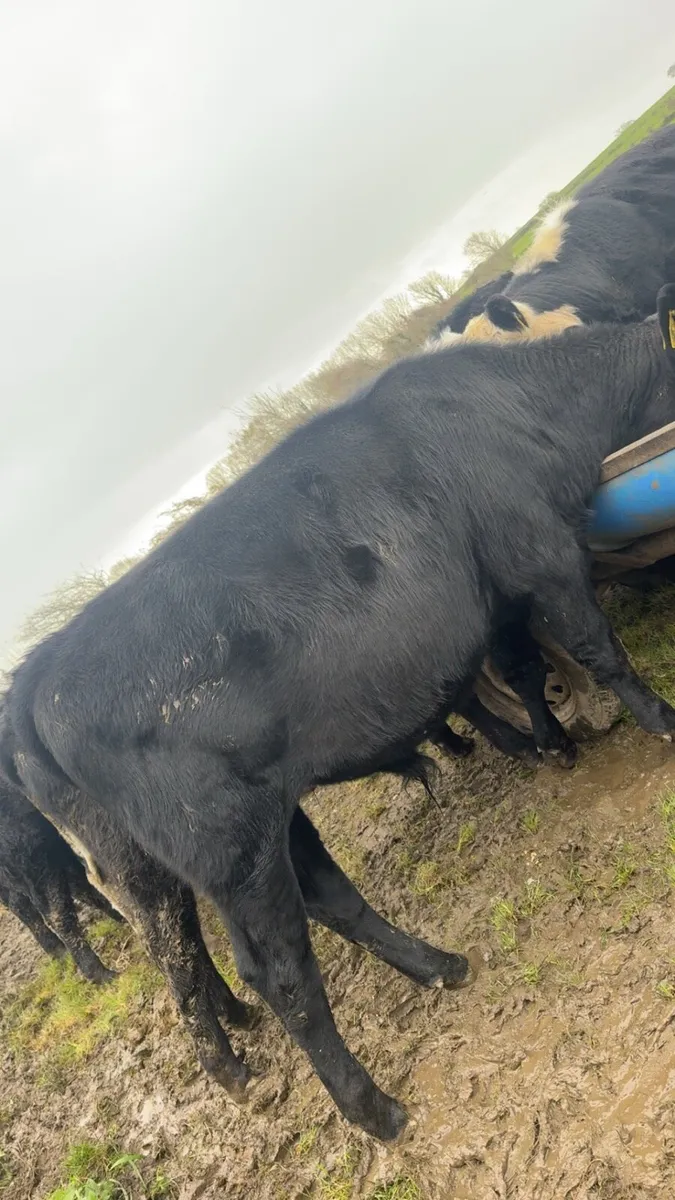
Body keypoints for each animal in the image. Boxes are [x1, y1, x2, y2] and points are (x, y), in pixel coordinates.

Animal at [4, 286, 675, 1142]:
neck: (509, 403)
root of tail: (40, 672)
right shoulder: (540, 553)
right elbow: (597, 647)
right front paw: (659, 719)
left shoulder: (493, 598)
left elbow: (524, 668)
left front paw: (551, 743)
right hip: (228, 847)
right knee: (274, 970)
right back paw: (372, 1108)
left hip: (224, 836)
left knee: (273, 922)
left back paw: (419, 977)